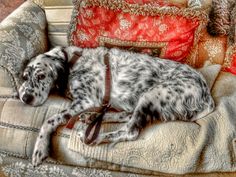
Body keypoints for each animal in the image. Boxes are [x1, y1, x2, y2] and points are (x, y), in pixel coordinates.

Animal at [18, 45, 216, 166]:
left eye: (41, 76)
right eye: (25, 77)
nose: (25, 97)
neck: (73, 61)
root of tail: (207, 96)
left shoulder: (86, 100)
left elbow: (50, 120)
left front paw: (40, 147)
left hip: (152, 94)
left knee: (130, 131)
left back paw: (93, 137)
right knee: (126, 115)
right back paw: (92, 117)